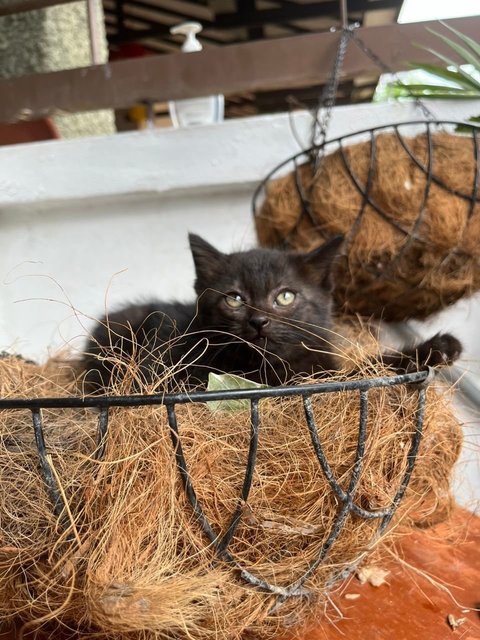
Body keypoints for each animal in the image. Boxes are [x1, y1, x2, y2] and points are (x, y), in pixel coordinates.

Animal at [81, 232, 462, 392]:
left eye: (286, 296)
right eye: (234, 299)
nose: (258, 321)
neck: (271, 367)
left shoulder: (322, 370)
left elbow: (368, 368)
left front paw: (437, 349)